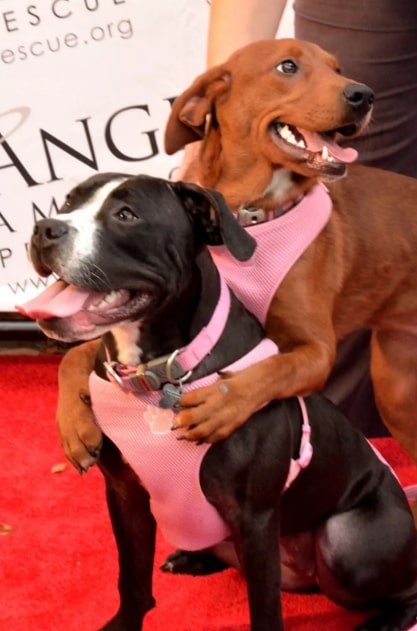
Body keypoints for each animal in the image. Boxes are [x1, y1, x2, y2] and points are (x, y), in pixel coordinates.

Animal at [20, 173, 417, 631]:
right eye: (68, 201)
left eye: (127, 215)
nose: (44, 228)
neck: (160, 373)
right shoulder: (124, 495)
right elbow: (132, 583)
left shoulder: (255, 516)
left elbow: (265, 611)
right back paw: (194, 559)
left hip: (347, 541)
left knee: (401, 587)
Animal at [55, 39, 416, 486]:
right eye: (288, 66)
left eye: (337, 68)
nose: (363, 95)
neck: (252, 215)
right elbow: (73, 355)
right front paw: (74, 424)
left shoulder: (315, 351)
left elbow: (272, 370)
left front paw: (220, 405)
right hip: (397, 391)